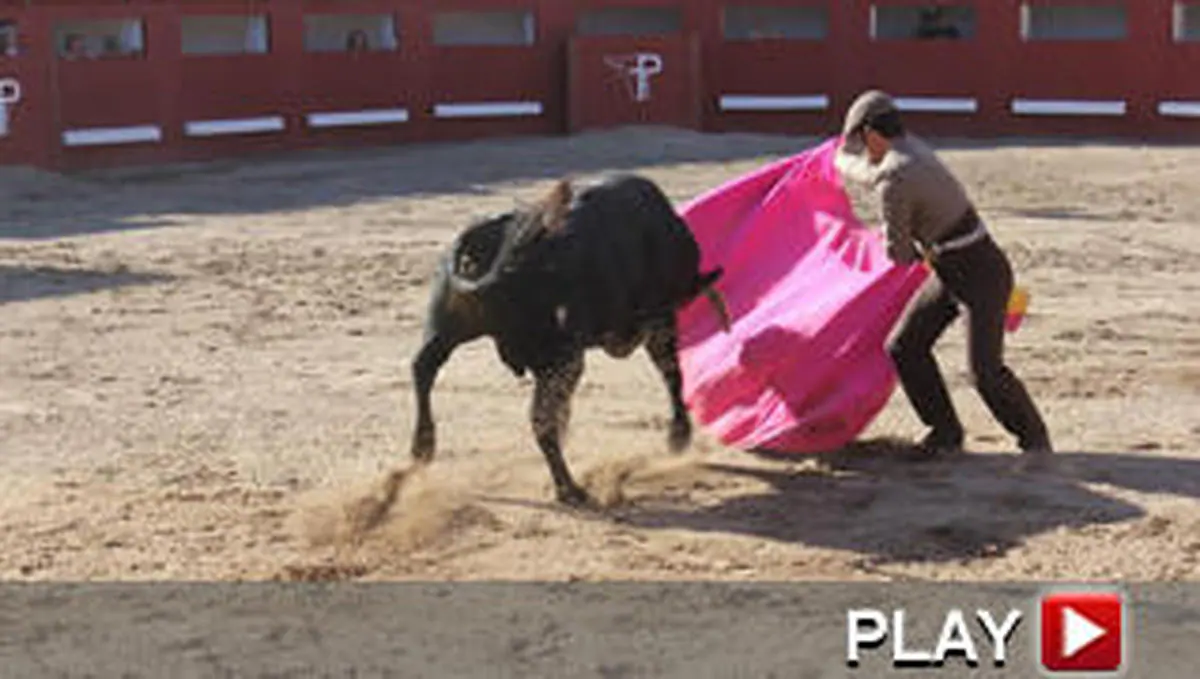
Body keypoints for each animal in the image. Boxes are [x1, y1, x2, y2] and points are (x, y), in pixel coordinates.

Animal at [412, 173, 729, 506]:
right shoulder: (659, 321)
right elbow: (672, 373)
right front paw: (679, 436)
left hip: (447, 329)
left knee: (423, 368)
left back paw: (422, 450)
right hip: (563, 357)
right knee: (541, 422)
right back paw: (570, 489)